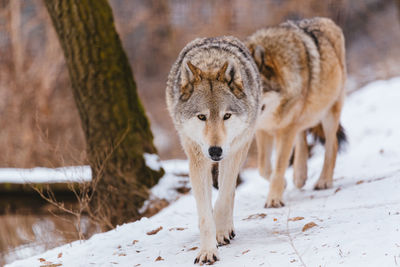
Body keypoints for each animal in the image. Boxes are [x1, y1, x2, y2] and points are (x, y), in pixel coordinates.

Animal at [166, 36, 262, 264]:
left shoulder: (233, 153)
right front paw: (208, 250)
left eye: (226, 116)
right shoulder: (197, 159)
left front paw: (221, 231)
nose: (215, 151)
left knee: (230, 191)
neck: (211, 64)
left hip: (242, 147)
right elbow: (204, 215)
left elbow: (224, 197)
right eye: (202, 117)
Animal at [245, 17, 346, 209]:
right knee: (302, 137)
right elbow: (263, 167)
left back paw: (324, 181)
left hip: (328, 112)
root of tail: (327, 20)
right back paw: (299, 175)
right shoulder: (262, 129)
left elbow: (278, 167)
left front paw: (274, 199)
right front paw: (284, 183)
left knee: (332, 144)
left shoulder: (284, 130)